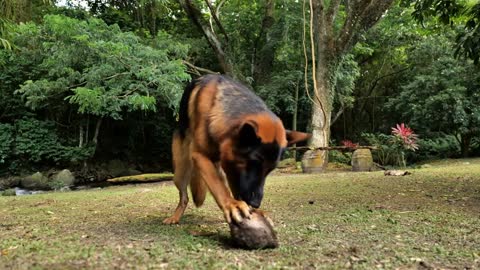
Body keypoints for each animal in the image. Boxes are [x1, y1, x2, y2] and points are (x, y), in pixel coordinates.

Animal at [163, 75, 310, 225]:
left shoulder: (233, 170)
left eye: (270, 169)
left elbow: (232, 189)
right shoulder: (200, 156)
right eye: (254, 163)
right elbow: (218, 186)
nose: (255, 203)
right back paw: (175, 217)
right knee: (184, 197)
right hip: (180, 172)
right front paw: (232, 204)